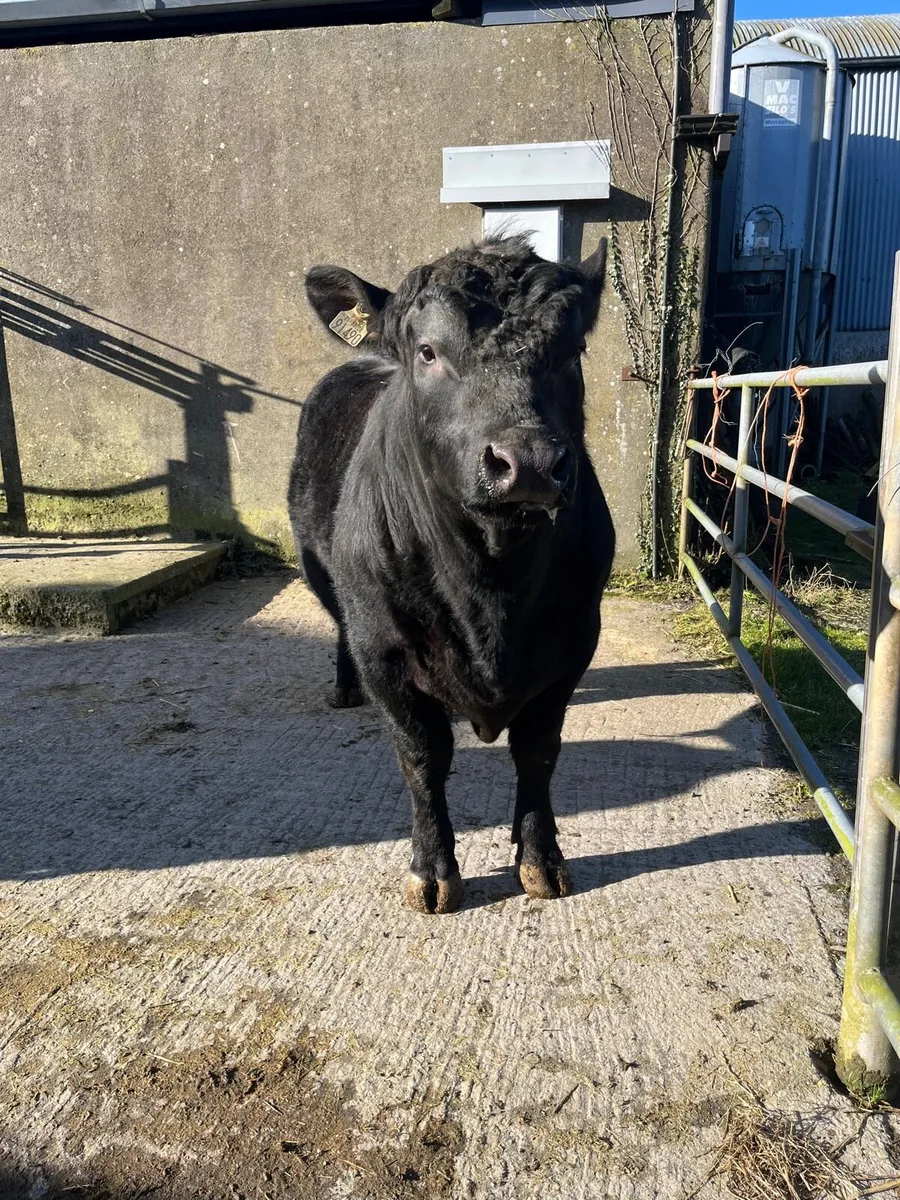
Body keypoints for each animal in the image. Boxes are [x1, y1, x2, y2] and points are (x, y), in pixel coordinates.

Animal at [288, 234, 615, 914]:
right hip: (323, 572)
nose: (528, 463)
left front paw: (541, 859)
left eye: (573, 351)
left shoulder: (575, 641)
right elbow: (423, 755)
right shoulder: (384, 649)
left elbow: (538, 752)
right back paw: (343, 687)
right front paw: (432, 869)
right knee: (338, 627)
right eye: (428, 351)